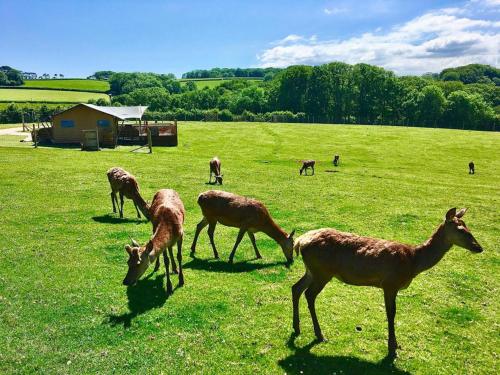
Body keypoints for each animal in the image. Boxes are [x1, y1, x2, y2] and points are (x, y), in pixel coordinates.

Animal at [292, 209, 482, 358]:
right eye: (461, 230)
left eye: (468, 227)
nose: (479, 247)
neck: (414, 261)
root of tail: (299, 242)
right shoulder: (390, 284)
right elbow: (391, 313)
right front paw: (392, 347)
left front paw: (395, 344)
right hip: (322, 272)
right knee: (309, 294)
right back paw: (319, 334)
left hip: (312, 271)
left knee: (296, 288)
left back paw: (297, 327)